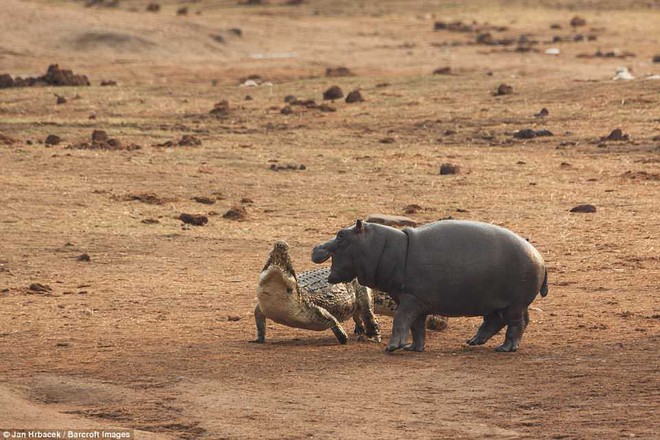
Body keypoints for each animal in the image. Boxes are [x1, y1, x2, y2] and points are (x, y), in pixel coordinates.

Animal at [312, 220, 548, 354]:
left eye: (341, 234)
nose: (315, 247)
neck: (383, 247)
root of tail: (539, 257)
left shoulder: (410, 299)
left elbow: (400, 321)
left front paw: (392, 347)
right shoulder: (415, 301)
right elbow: (416, 327)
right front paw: (413, 348)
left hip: (515, 304)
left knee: (517, 324)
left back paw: (505, 348)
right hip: (497, 303)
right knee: (495, 320)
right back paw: (473, 341)